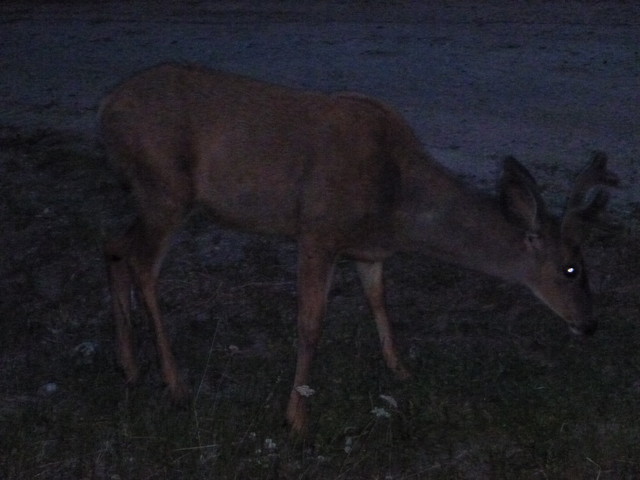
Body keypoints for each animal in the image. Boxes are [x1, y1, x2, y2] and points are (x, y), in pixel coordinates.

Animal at [101, 61, 620, 436]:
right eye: (572, 269)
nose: (590, 325)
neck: (398, 204)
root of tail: (106, 108)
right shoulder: (317, 230)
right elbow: (311, 325)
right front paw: (296, 417)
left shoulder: (369, 252)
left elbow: (379, 303)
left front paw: (402, 371)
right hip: (167, 190)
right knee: (142, 262)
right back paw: (175, 384)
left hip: (151, 196)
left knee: (114, 245)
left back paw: (129, 366)